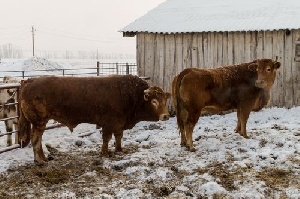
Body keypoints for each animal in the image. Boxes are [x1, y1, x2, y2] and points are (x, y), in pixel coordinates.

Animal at [18, 75, 171, 164]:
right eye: (154, 101)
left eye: (164, 100)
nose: (166, 116)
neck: (131, 95)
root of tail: (29, 81)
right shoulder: (108, 124)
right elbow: (107, 139)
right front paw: (105, 153)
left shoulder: (119, 124)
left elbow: (119, 136)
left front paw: (119, 149)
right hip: (39, 122)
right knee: (36, 140)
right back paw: (40, 160)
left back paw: (42, 158)